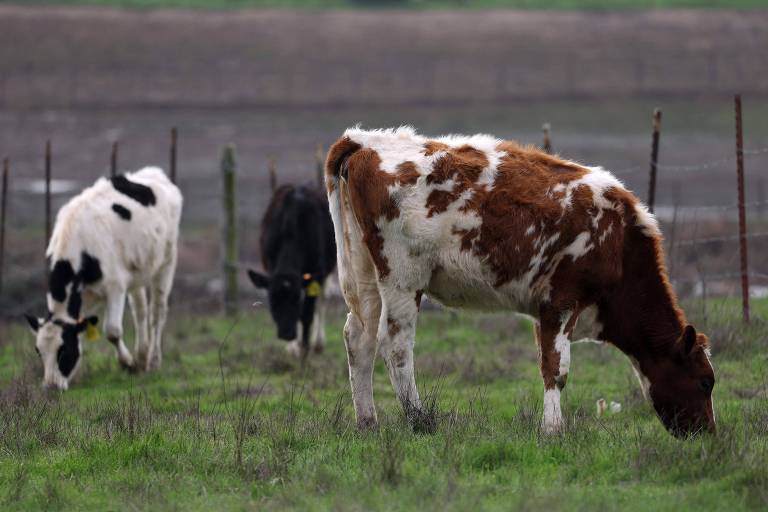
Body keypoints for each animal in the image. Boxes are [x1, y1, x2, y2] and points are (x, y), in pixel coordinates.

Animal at [25, 167, 183, 388]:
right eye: (39, 351)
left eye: (63, 349)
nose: (51, 386)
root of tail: (152, 173)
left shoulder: (115, 286)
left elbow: (112, 331)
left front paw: (128, 364)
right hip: (137, 273)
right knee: (140, 313)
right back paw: (142, 356)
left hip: (166, 261)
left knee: (157, 314)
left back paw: (152, 361)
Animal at [249, 183, 336, 356]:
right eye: (273, 299)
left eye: (296, 298)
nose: (286, 334)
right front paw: (295, 346)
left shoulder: (317, 272)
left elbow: (307, 313)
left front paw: (305, 348)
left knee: (321, 301)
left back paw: (317, 343)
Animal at [328, 127, 716, 436]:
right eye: (705, 381)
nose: (708, 434)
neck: (620, 243)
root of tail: (364, 140)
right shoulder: (563, 300)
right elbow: (557, 369)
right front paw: (554, 430)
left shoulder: (544, 308)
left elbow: (547, 364)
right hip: (403, 276)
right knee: (395, 345)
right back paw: (420, 420)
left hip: (363, 274)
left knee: (358, 338)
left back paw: (368, 422)